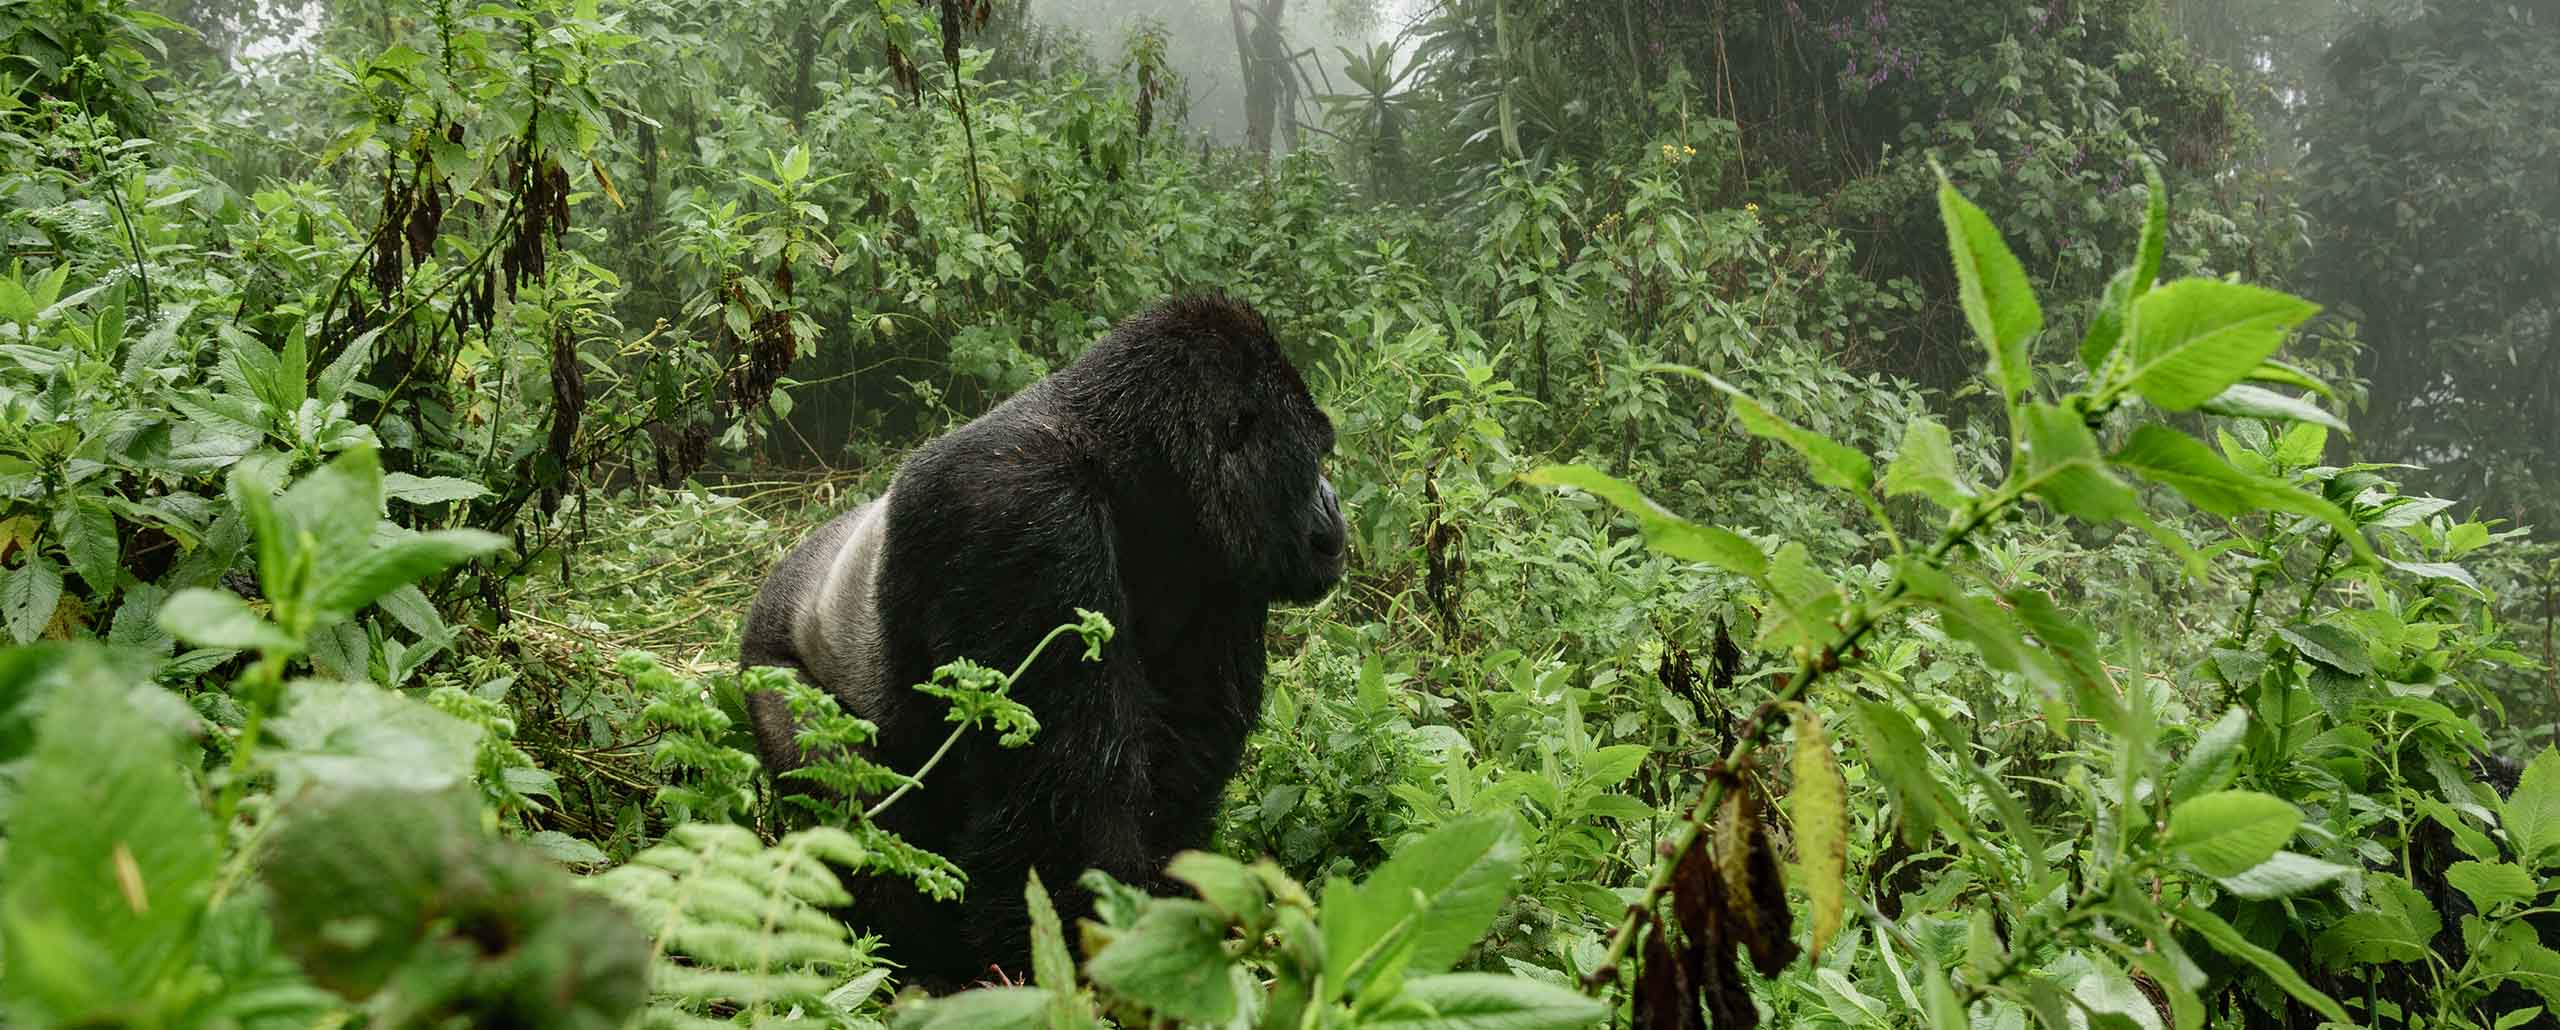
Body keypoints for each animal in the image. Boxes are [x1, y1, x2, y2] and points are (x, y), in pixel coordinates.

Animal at [738, 292, 1346, 990]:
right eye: (1318, 458)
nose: (1334, 503)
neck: (1125, 463)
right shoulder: (1025, 517)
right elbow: (1065, 801)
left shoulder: (1223, 568)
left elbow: (1175, 778)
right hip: (771, 671)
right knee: (854, 796)